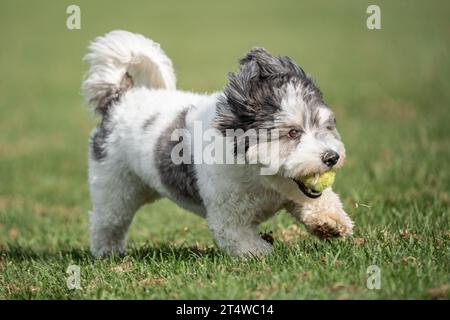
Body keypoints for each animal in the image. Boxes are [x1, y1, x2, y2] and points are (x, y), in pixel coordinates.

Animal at [82, 30, 354, 258]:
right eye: (293, 132)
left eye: (325, 125)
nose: (331, 157)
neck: (257, 176)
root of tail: (120, 98)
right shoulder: (227, 217)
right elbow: (239, 238)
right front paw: (262, 252)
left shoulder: (293, 194)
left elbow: (320, 202)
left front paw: (331, 222)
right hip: (115, 190)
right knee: (106, 222)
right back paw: (108, 253)